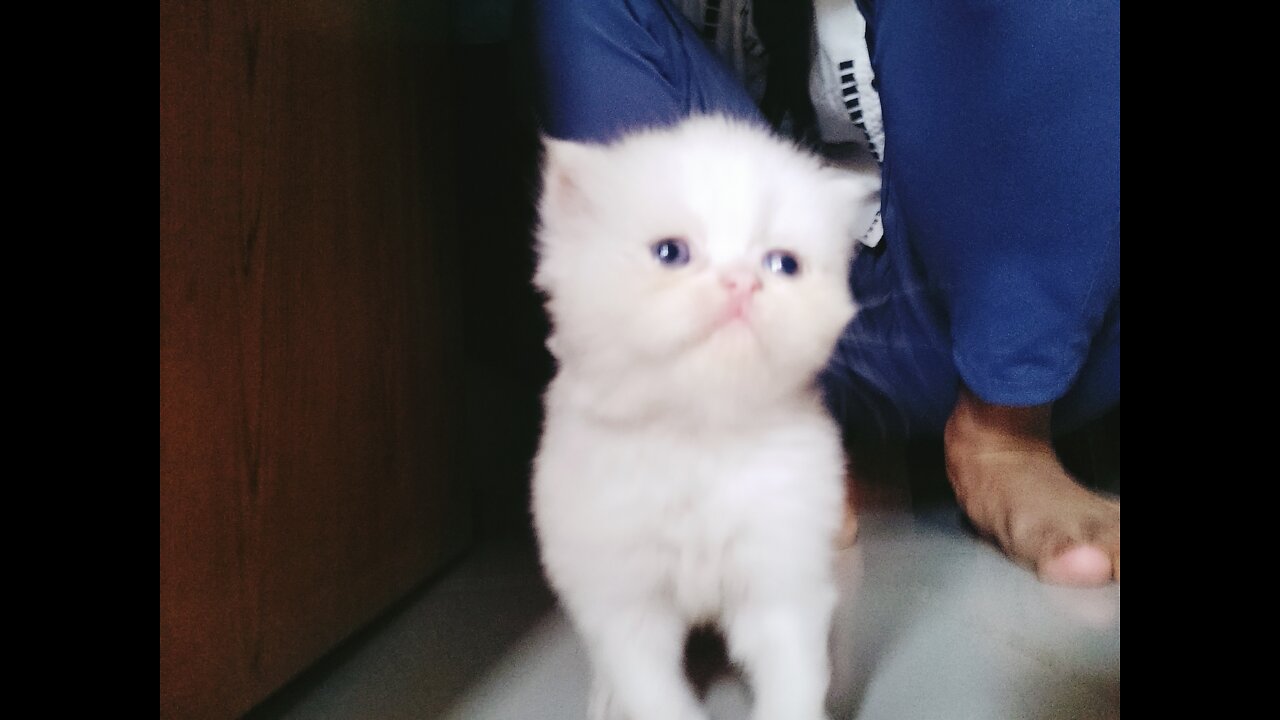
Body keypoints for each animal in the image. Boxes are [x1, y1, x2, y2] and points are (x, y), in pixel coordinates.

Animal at [529, 114, 880, 712]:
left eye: (783, 264)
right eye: (671, 254)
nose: (743, 281)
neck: (700, 435)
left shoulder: (782, 577)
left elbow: (794, 679)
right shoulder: (624, 603)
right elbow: (652, 694)